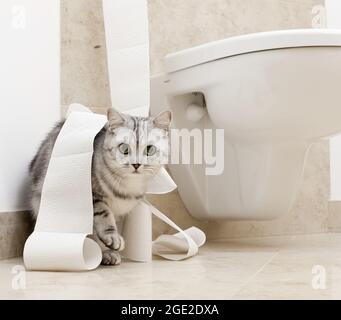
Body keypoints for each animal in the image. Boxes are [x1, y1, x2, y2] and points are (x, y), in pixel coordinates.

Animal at [28, 109, 171, 266]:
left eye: (150, 149)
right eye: (124, 148)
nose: (136, 164)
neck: (128, 187)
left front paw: (108, 249)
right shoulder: (92, 194)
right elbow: (104, 214)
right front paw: (112, 237)